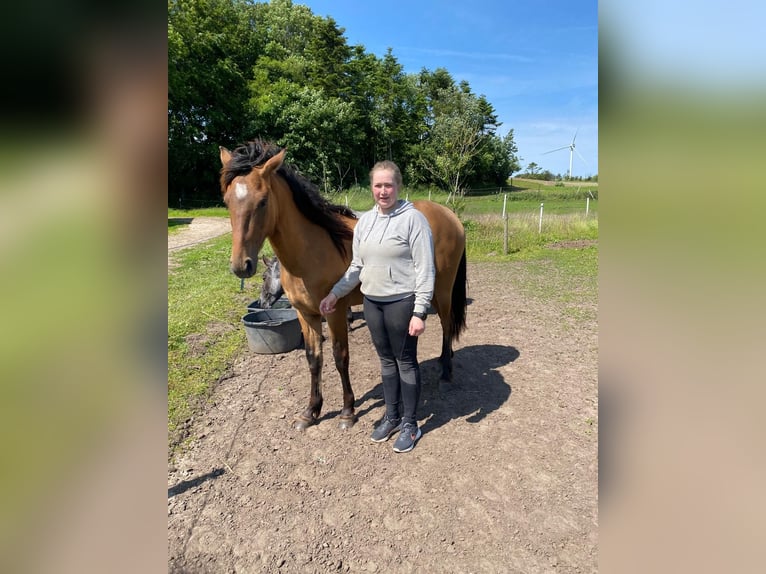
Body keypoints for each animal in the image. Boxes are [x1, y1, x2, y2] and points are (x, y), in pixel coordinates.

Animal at [219, 140, 467, 430]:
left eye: (263, 201)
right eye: (227, 201)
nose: (241, 265)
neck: (312, 249)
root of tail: (449, 215)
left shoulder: (334, 312)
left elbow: (340, 357)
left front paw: (348, 411)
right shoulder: (307, 315)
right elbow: (314, 359)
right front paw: (311, 411)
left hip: (442, 290)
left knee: (447, 325)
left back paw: (445, 373)